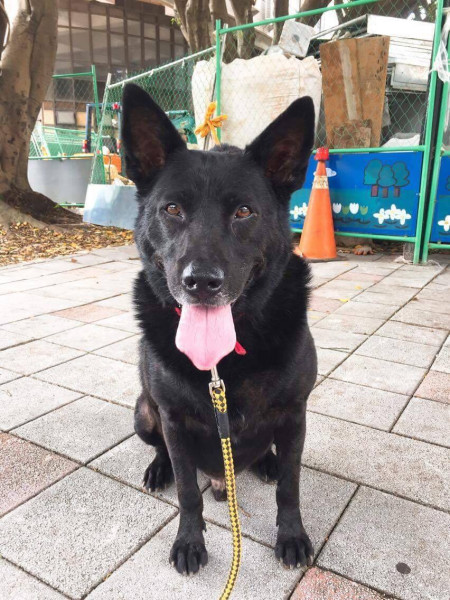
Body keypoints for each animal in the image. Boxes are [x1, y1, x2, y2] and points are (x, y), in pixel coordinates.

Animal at [121, 83, 318, 576]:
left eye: (244, 212)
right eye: (172, 208)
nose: (201, 282)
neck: (222, 362)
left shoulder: (295, 414)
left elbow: (290, 486)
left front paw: (291, 535)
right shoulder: (173, 418)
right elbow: (188, 493)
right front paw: (189, 541)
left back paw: (265, 463)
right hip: (144, 411)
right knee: (165, 453)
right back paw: (158, 470)